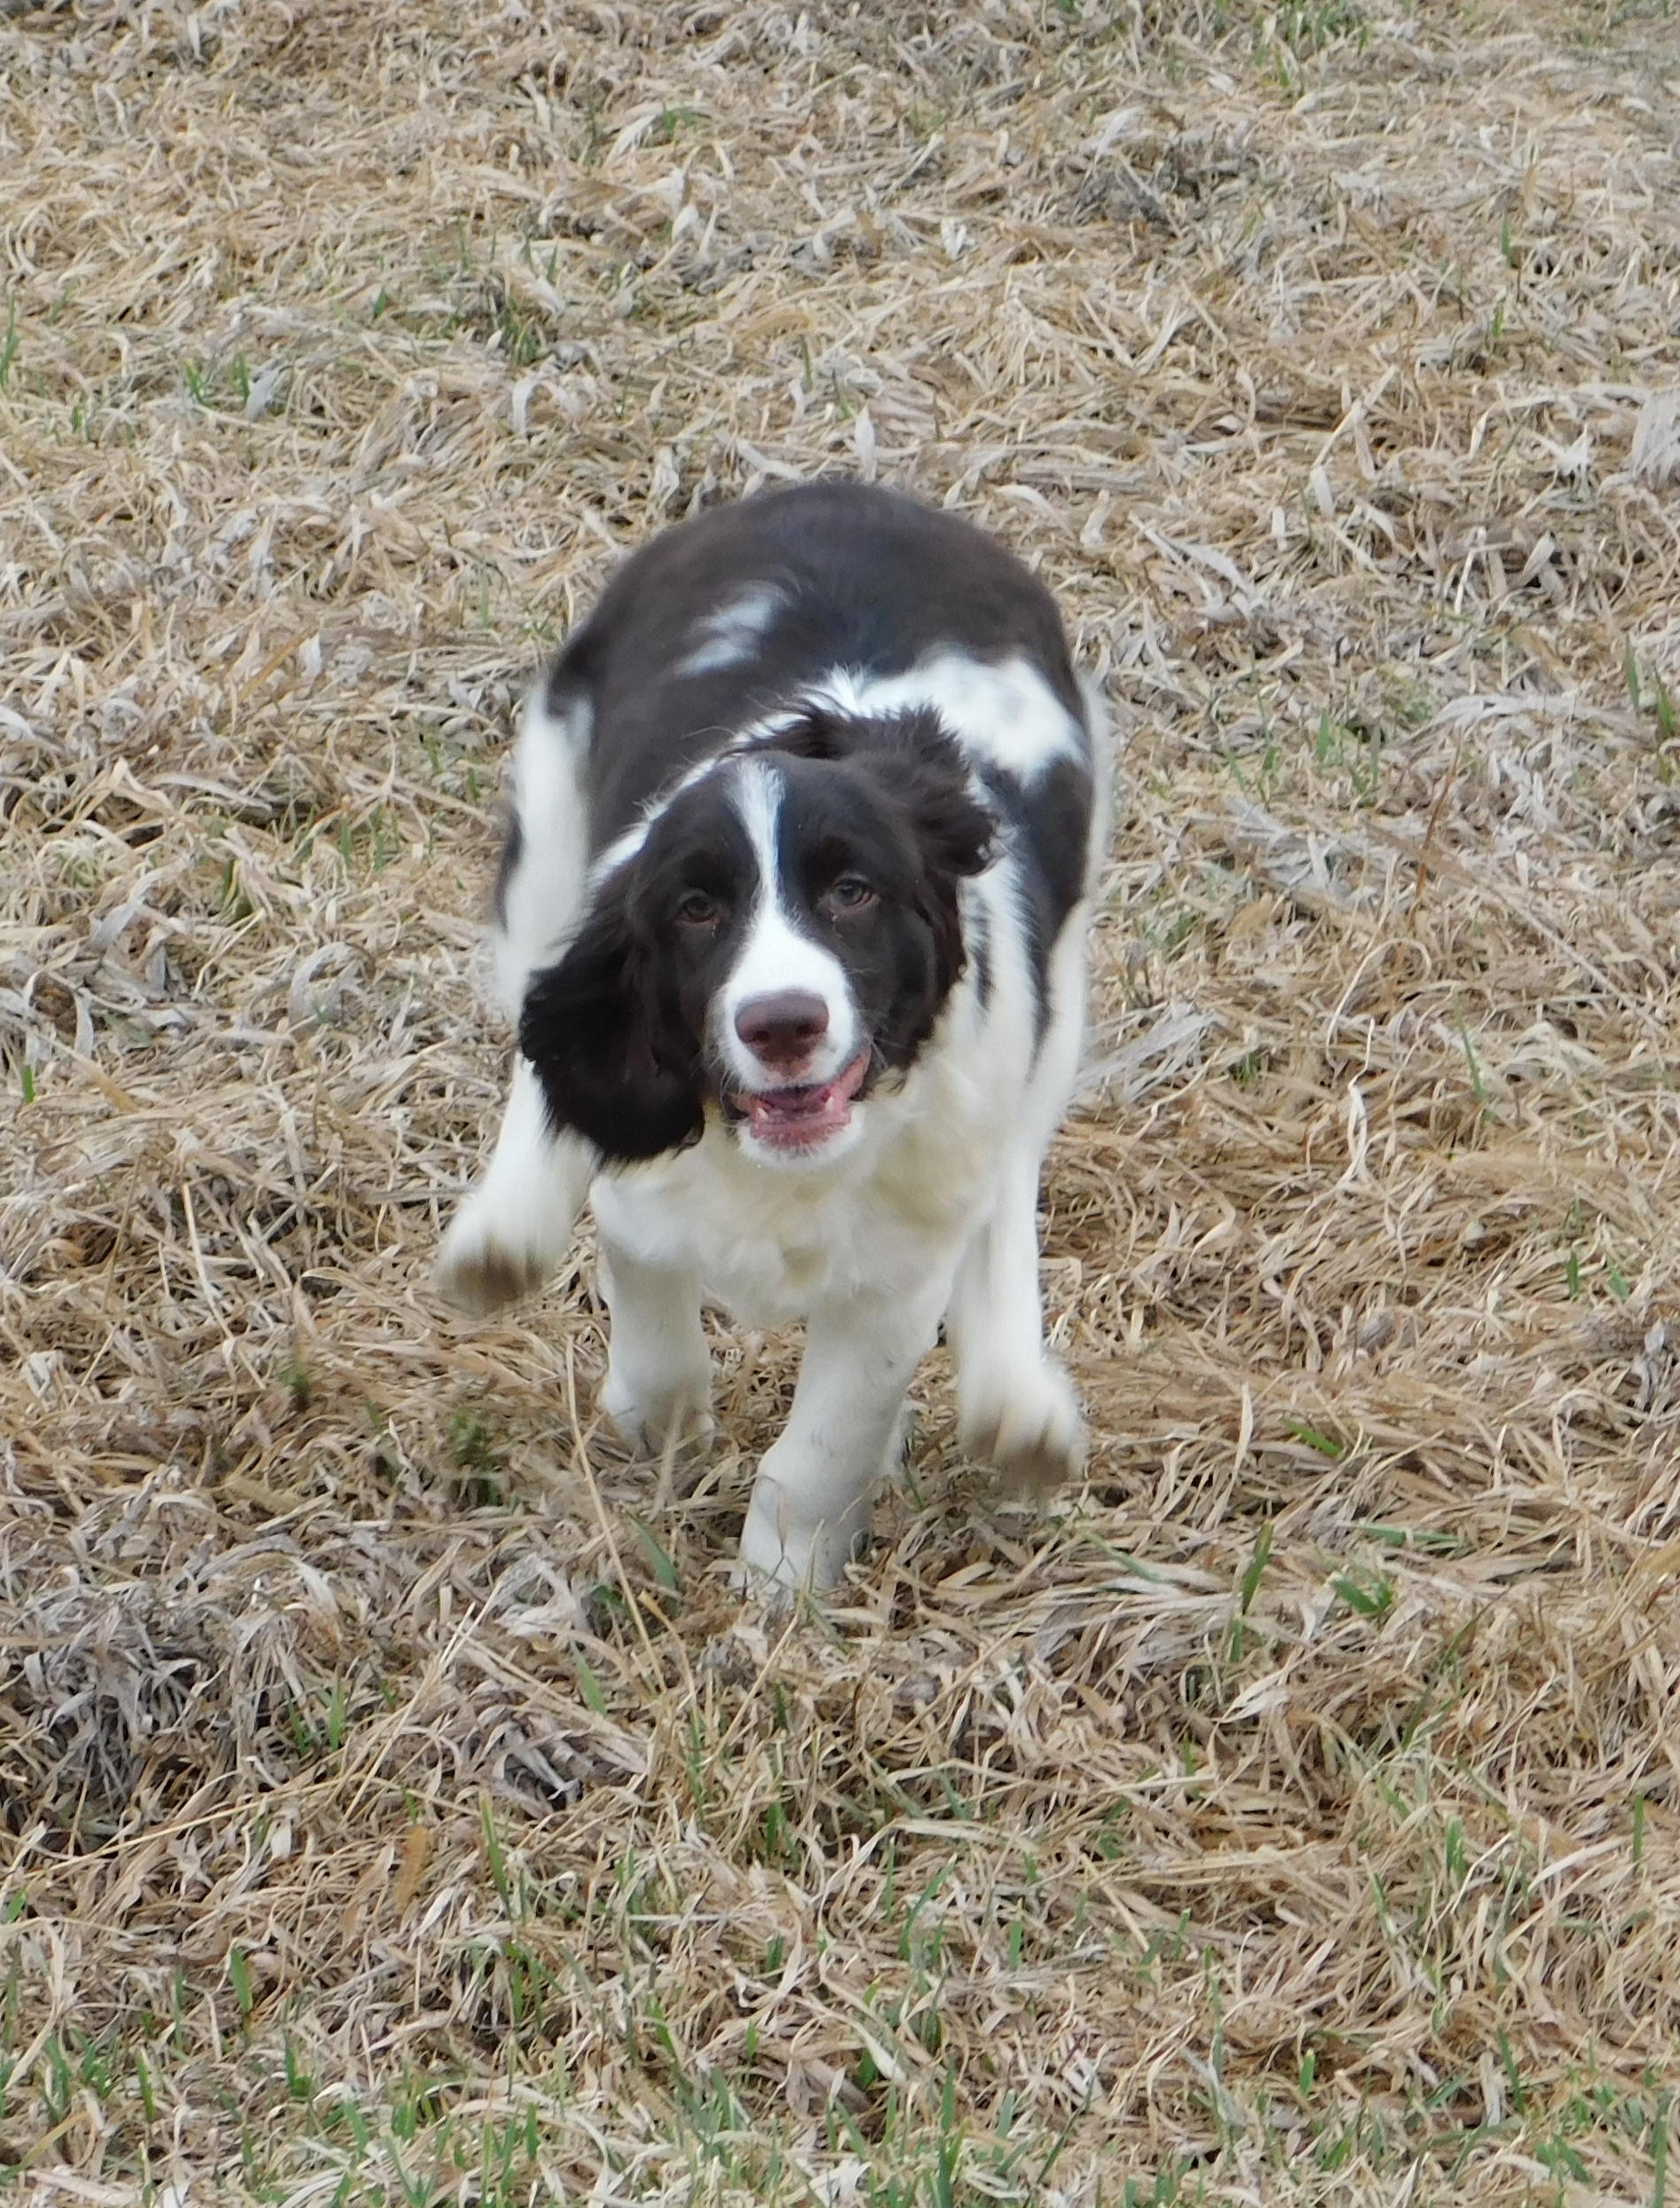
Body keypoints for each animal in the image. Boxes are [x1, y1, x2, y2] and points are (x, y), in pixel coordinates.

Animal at [435, 480, 1106, 1592]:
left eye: (853, 892)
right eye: (696, 910)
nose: (783, 1021)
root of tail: (842, 490)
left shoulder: (891, 1285)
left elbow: (823, 1443)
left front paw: (781, 1589)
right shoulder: (642, 1171)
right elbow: (642, 1267)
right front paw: (657, 1421)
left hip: (1060, 989)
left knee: (1011, 1165)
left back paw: (1017, 1404)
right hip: (549, 837)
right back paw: (503, 1233)